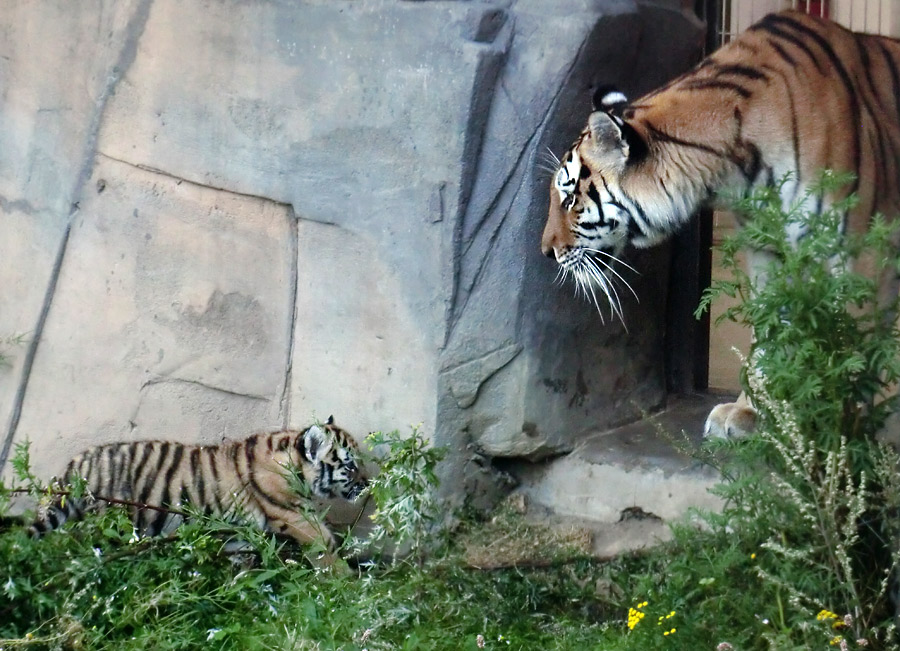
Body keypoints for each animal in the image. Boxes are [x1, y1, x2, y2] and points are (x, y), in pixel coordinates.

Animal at [29, 420, 366, 564]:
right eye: (350, 465)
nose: (366, 484)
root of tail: (76, 465)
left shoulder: (238, 533)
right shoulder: (296, 517)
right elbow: (327, 545)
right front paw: (345, 584)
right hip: (109, 523)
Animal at [536, 8, 900, 438]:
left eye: (570, 197)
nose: (546, 251)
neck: (735, 167)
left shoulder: (863, 253)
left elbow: (853, 351)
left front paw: (839, 435)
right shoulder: (768, 250)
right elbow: (770, 330)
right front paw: (753, 413)